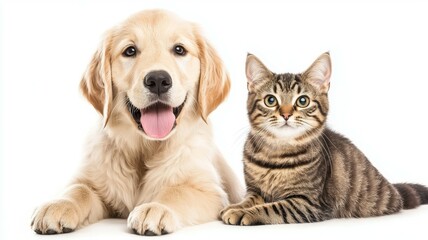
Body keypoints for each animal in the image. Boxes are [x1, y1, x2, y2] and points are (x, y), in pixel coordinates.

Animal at [30, 9, 242, 236]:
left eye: (179, 49)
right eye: (130, 51)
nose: (158, 80)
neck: (145, 147)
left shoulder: (210, 191)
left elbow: (177, 192)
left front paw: (156, 207)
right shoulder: (93, 180)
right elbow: (79, 189)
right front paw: (59, 204)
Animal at [221, 52, 428, 225]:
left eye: (302, 101)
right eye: (270, 100)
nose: (286, 114)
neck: (276, 154)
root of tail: (392, 188)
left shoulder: (309, 202)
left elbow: (272, 207)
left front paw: (245, 213)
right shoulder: (254, 190)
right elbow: (249, 199)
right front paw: (236, 207)